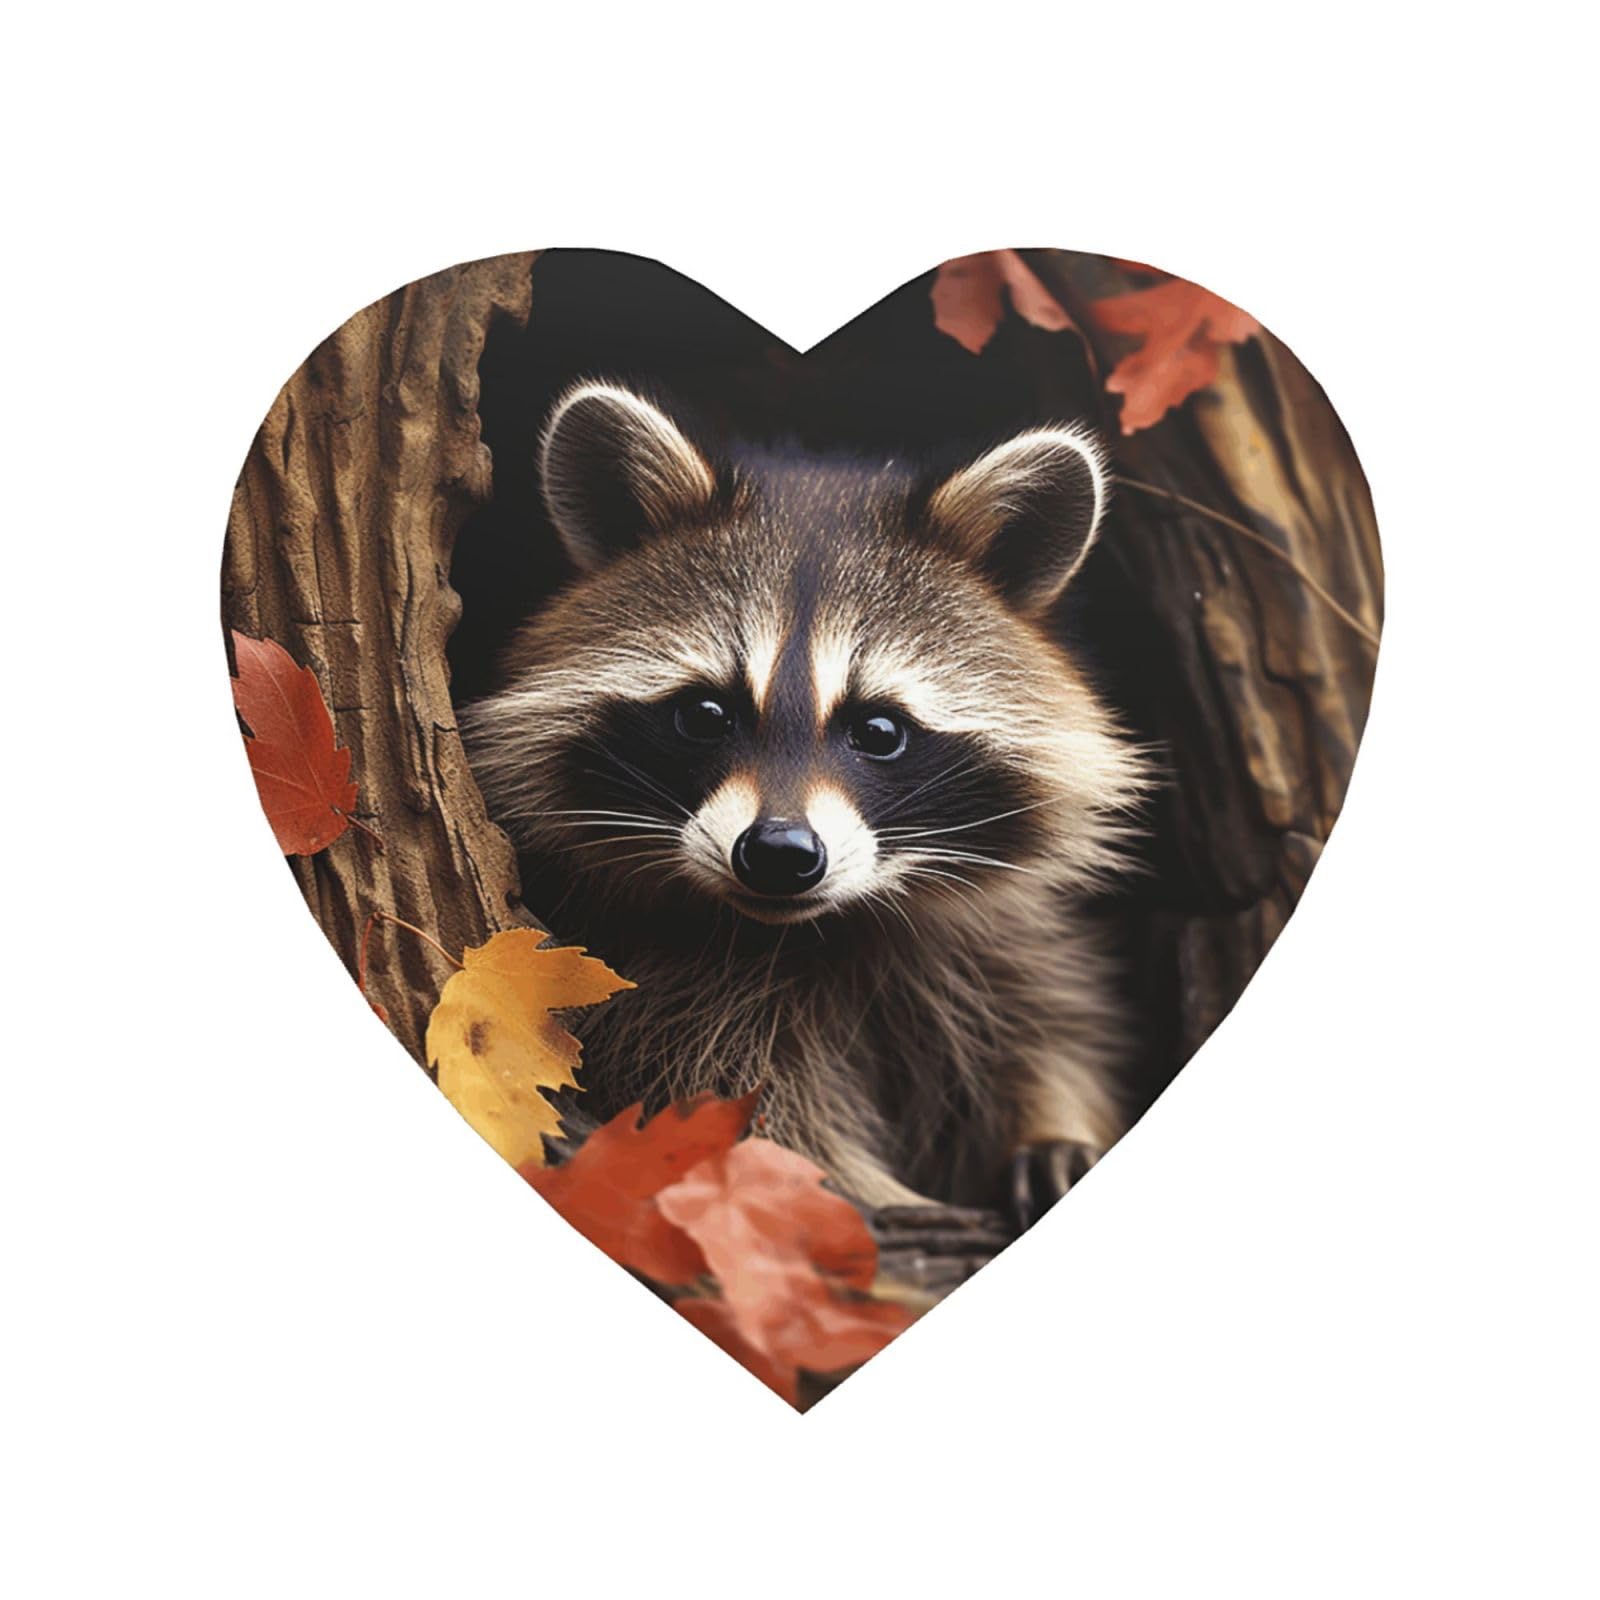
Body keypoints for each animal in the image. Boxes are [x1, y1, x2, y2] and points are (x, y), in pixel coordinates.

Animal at [461, 380, 1148, 1224]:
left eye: (879, 730)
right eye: (706, 714)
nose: (779, 854)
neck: (816, 931)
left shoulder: (999, 944)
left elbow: (1049, 1030)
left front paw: (1052, 1125)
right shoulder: (661, 990)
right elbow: (751, 1120)